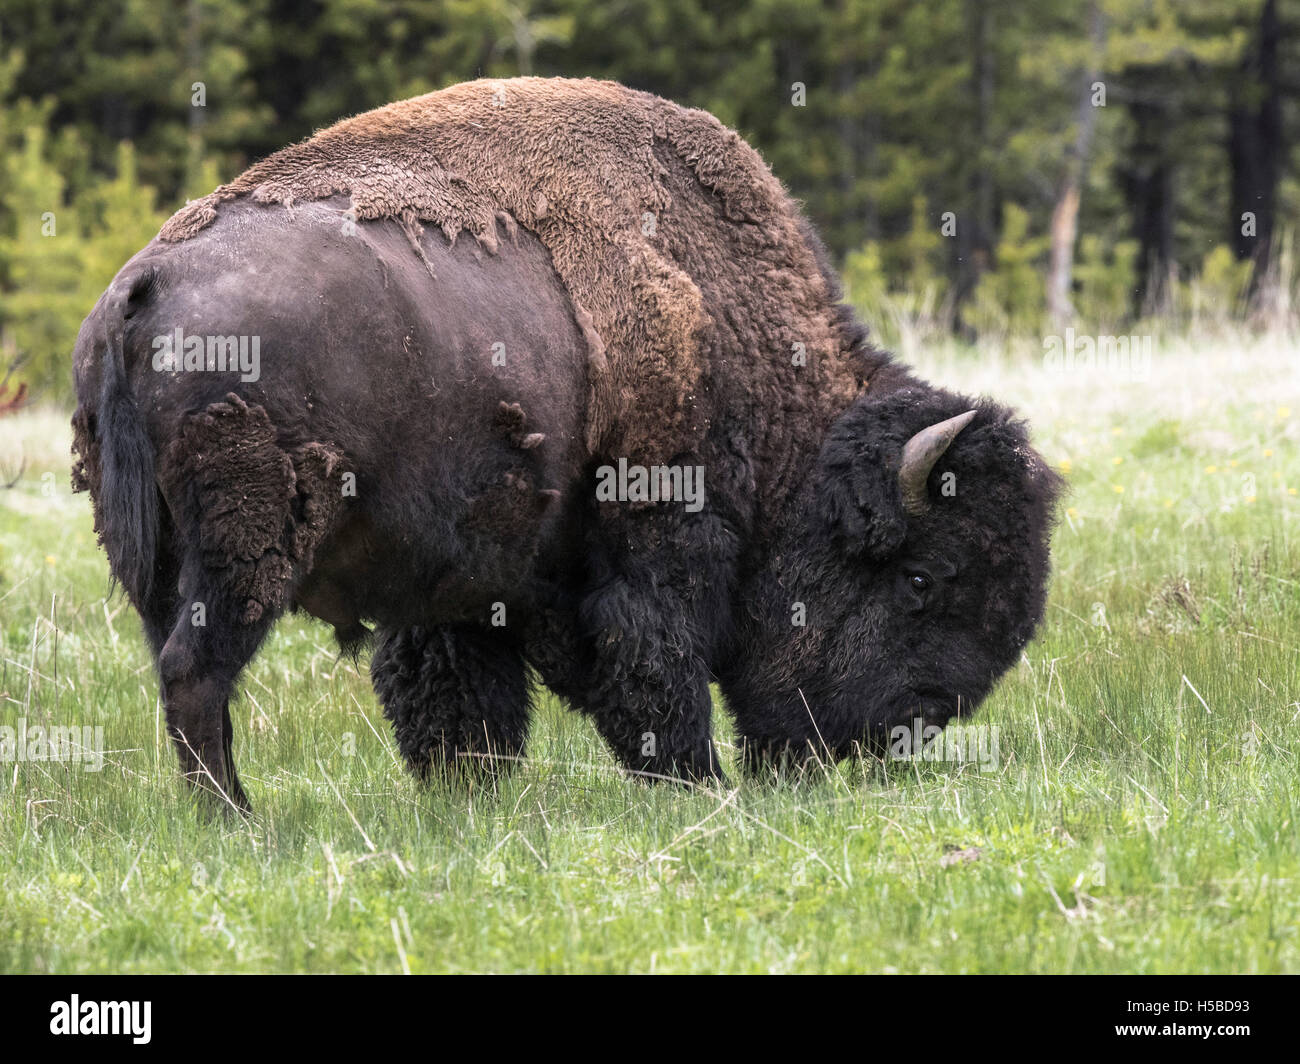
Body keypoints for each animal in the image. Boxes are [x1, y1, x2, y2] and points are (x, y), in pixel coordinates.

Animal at [71, 78, 1061, 812]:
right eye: (922, 578)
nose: (904, 729)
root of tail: (143, 288)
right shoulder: (657, 533)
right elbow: (652, 659)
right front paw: (697, 783)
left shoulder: (461, 581)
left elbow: (462, 693)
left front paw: (468, 793)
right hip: (248, 552)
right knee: (198, 674)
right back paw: (238, 817)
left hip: (159, 562)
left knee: (172, 668)